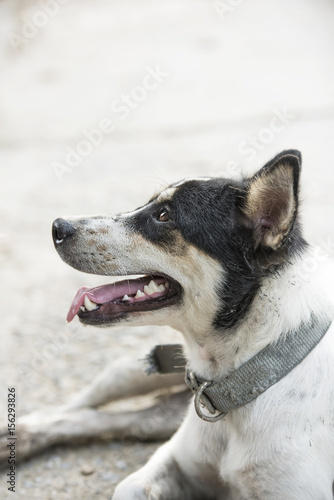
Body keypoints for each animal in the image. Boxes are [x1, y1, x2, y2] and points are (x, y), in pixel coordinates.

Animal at [3, 150, 334, 498]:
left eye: (163, 216)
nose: (57, 226)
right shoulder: (172, 460)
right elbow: (125, 487)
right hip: (135, 370)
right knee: (82, 404)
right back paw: (21, 433)